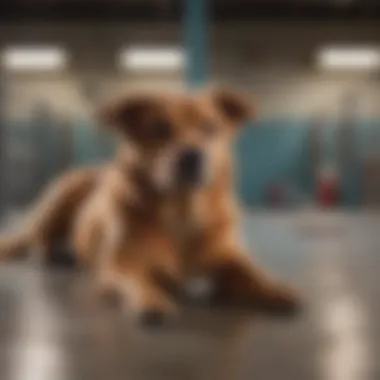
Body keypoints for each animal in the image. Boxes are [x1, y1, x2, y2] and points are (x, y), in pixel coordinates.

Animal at [0, 88, 300, 324]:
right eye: (159, 129)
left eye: (210, 127)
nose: (191, 155)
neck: (182, 212)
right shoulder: (121, 265)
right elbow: (136, 280)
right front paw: (151, 299)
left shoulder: (228, 257)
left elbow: (250, 272)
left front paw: (275, 289)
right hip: (61, 194)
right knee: (39, 241)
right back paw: (58, 255)